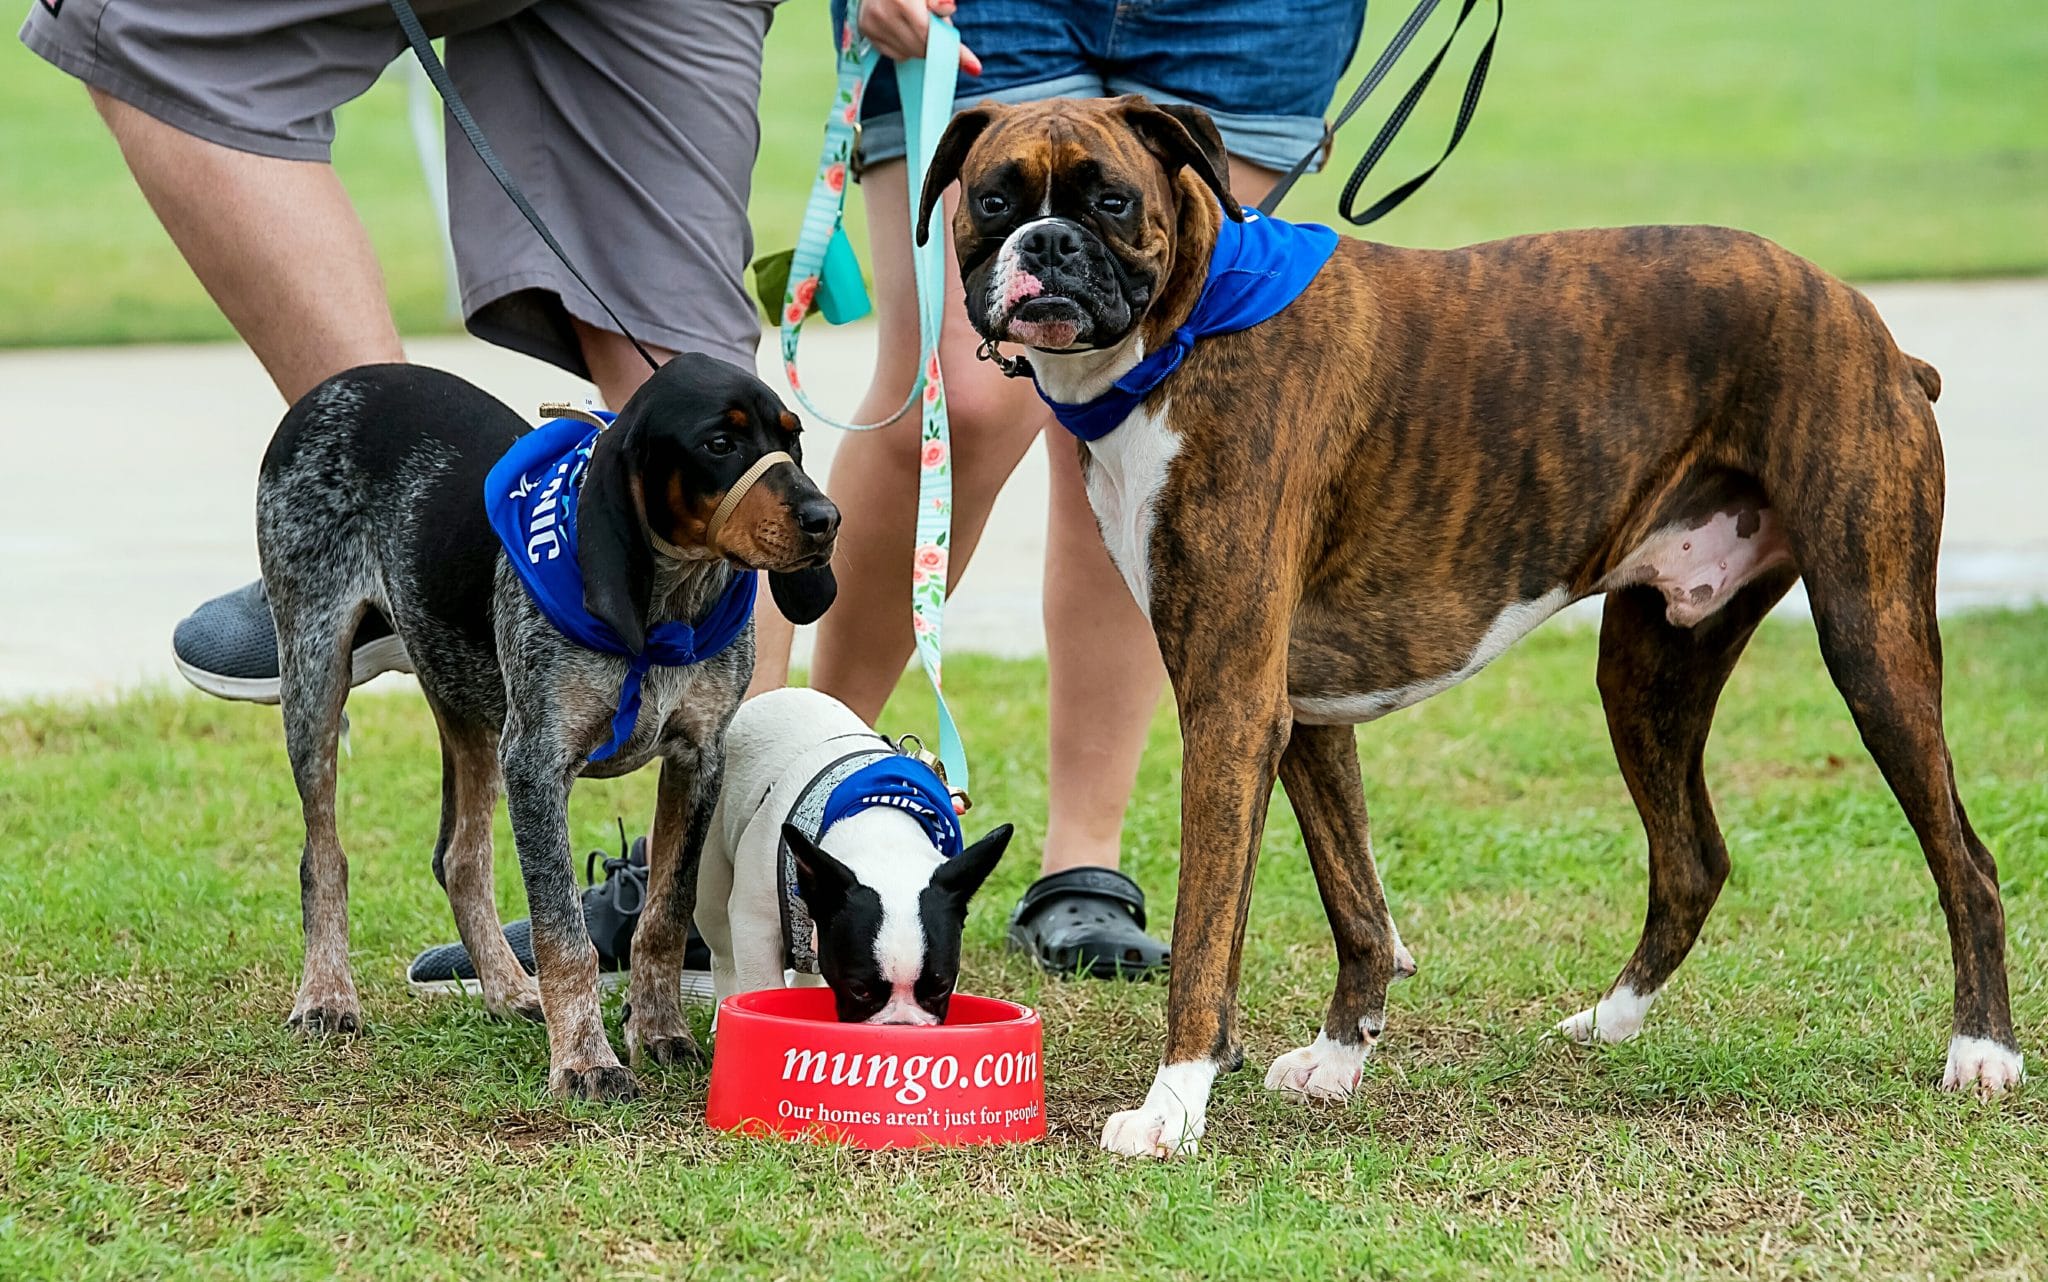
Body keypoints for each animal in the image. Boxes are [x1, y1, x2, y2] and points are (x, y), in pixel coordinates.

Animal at [692, 684, 1011, 1023]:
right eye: (859, 989)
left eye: (941, 987)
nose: (900, 1024)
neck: (883, 834)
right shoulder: (754, 926)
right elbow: (761, 986)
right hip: (711, 877)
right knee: (723, 952)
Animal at [921, 102, 2023, 1155]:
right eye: (993, 201)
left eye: (1110, 202)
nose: (1047, 241)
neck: (1189, 327)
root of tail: (1872, 325)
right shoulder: (1302, 713)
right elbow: (1355, 903)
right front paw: (1337, 1055)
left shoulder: (1229, 705)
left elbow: (1205, 929)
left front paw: (1171, 1105)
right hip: (1650, 672)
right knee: (1692, 859)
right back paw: (1610, 1022)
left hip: (1869, 640)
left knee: (1964, 861)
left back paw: (1982, 1053)